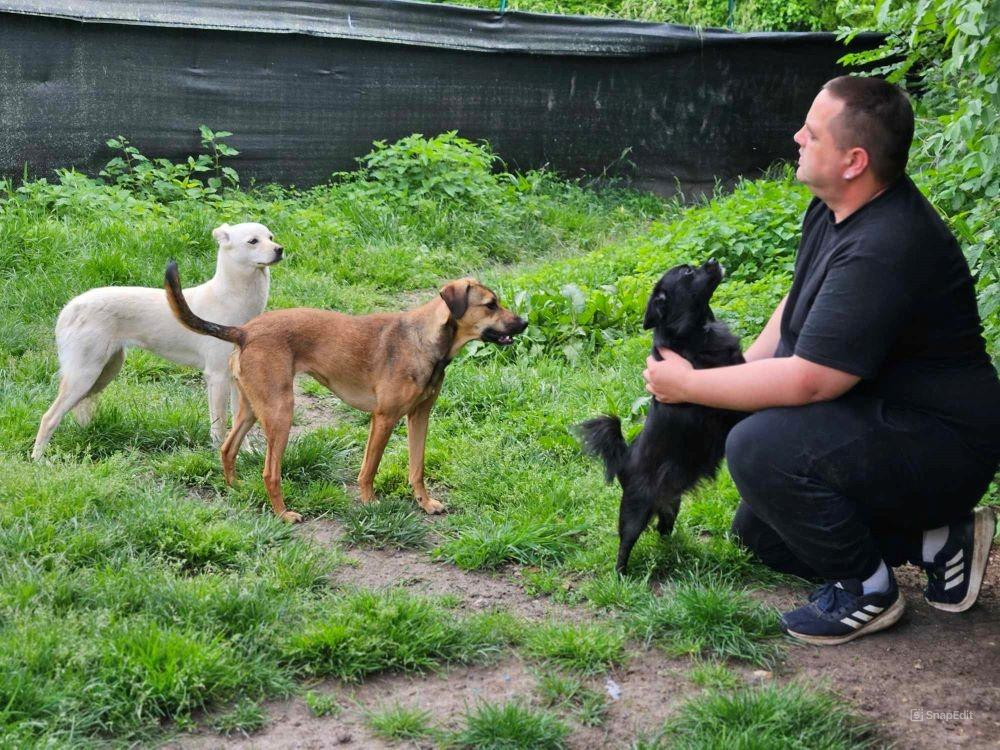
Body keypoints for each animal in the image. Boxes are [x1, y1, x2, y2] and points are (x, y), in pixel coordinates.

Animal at [32, 220, 282, 462]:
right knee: (48, 417)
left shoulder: (236, 379)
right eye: (253, 241)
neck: (230, 297)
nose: (280, 249)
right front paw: (218, 456)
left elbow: (240, 425)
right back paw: (39, 460)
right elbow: (219, 425)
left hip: (105, 371)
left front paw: (246, 453)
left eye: (270, 237)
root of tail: (69, 308)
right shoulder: (217, 377)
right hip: (84, 375)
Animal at [162, 262, 532, 524]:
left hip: (254, 408)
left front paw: (425, 503)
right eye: (490, 305)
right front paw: (369, 503)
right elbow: (370, 468)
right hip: (281, 413)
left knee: (227, 448)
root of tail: (243, 331)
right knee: (270, 472)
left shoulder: (420, 416)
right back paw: (283, 514)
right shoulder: (384, 419)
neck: (424, 339)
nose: (525, 322)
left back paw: (236, 488)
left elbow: (417, 467)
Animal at [580, 260, 744, 576]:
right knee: (626, 543)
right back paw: (621, 575)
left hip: (671, 503)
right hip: (635, 511)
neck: (698, 332)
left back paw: (673, 551)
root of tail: (625, 458)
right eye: (688, 273)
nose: (713, 261)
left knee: (662, 529)